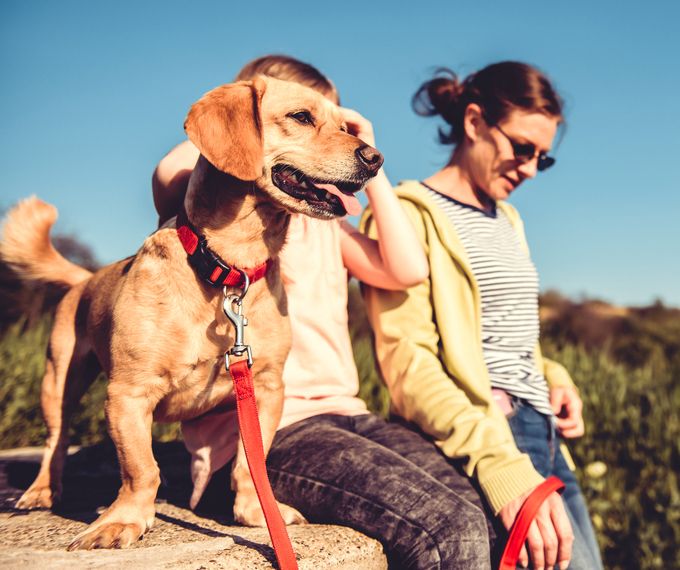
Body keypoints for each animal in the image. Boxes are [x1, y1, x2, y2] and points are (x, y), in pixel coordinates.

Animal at [0, 77, 382, 548]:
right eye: (301, 117)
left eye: (346, 125)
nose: (375, 158)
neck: (229, 269)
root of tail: (86, 278)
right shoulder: (128, 393)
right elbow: (140, 469)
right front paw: (122, 520)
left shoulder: (266, 388)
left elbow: (247, 463)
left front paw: (255, 512)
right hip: (58, 382)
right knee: (56, 440)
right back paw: (41, 491)